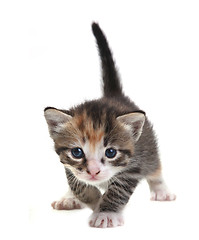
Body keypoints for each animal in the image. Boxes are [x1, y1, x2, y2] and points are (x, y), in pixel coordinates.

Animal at [44, 23, 176, 229]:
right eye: (77, 152)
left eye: (111, 152)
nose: (93, 171)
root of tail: (114, 95)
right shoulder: (68, 164)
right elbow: (77, 183)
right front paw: (94, 200)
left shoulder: (133, 167)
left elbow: (117, 191)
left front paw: (105, 212)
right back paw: (69, 198)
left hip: (149, 149)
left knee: (155, 167)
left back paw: (161, 190)